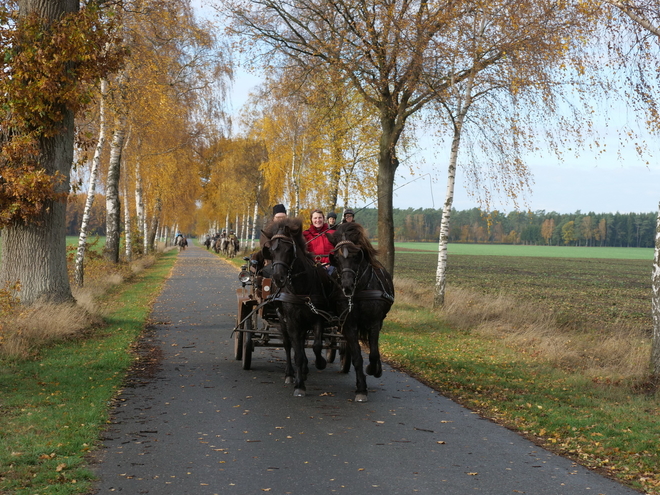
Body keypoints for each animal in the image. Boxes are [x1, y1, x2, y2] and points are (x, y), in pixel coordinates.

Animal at [260, 219, 336, 398]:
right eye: (270, 251)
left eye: (288, 249)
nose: (278, 278)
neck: (302, 289)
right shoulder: (292, 321)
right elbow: (297, 354)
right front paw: (299, 385)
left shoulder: (317, 317)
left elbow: (316, 346)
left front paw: (320, 363)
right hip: (282, 319)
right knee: (289, 345)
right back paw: (290, 374)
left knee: (301, 343)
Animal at [328, 223, 394, 402]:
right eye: (336, 258)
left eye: (357, 256)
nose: (347, 286)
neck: (359, 291)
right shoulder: (348, 325)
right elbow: (357, 356)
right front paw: (361, 389)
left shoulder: (374, 323)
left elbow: (374, 353)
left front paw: (374, 369)